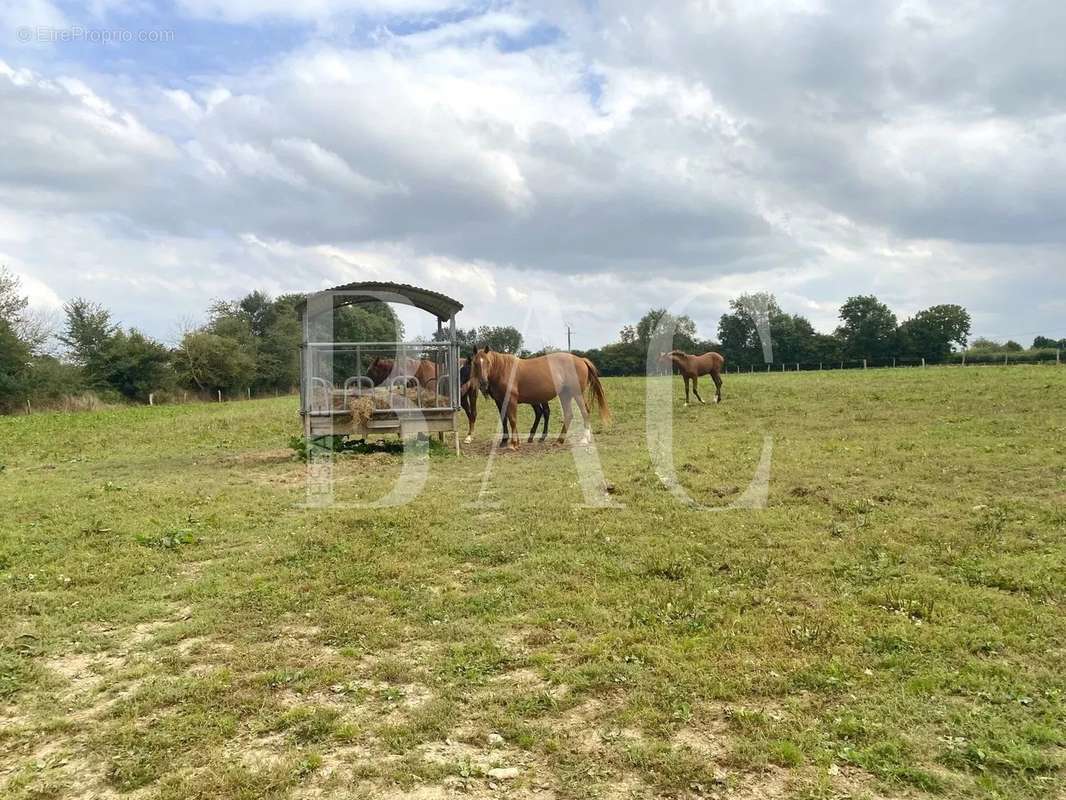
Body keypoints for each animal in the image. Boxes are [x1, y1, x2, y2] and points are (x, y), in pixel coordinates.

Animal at [473, 349, 614, 452]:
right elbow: (506, 419)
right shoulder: (501, 401)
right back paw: (559, 441)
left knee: (584, 412)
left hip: (576, 393)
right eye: (475, 363)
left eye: (488, 362)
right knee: (568, 414)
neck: (504, 369)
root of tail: (581, 360)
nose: (483, 383)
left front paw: (514, 444)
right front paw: (510, 442)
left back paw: (584, 439)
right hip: (565, 395)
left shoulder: (511, 400)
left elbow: (512, 420)